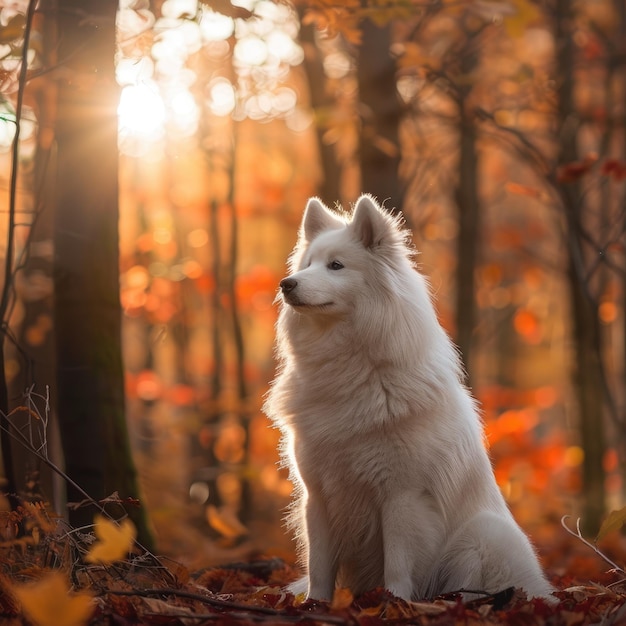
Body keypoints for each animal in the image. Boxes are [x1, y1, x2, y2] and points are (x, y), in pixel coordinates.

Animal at [262, 194, 552, 600]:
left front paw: (394, 603)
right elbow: (319, 566)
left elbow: (397, 566)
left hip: (484, 534)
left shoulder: (402, 496)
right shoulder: (317, 495)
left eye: (336, 265)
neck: (351, 370)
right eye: (307, 265)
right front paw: (314, 604)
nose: (286, 284)